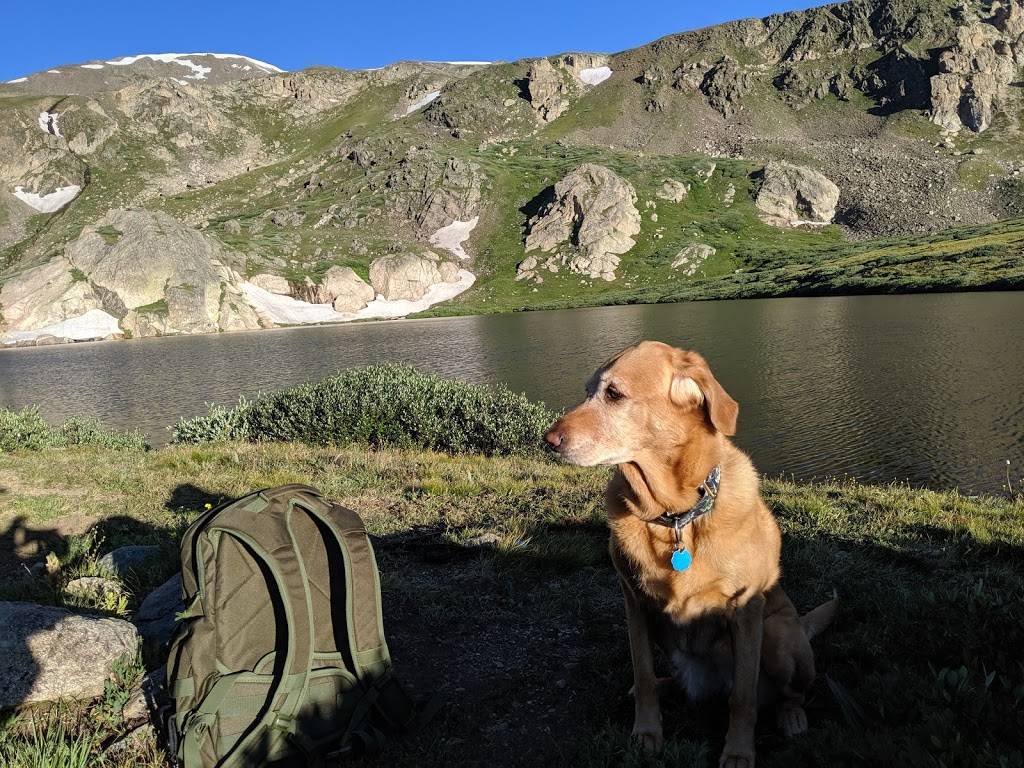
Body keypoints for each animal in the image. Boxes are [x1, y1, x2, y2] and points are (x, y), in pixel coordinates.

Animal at [544, 344, 831, 768]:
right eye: (587, 391)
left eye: (614, 394)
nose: (548, 440)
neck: (674, 517)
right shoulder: (633, 603)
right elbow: (643, 673)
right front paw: (647, 732)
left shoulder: (746, 611)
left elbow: (742, 697)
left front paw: (738, 752)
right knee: (663, 680)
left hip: (779, 634)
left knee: (789, 693)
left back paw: (791, 716)